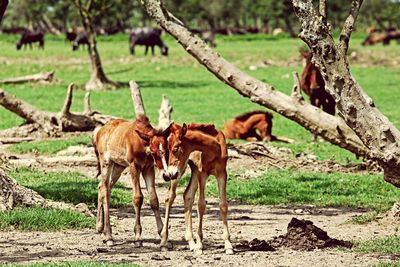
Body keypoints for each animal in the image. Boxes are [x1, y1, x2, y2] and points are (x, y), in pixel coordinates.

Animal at [94, 116, 173, 248]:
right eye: (153, 151)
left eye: (167, 150)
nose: (167, 175)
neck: (142, 144)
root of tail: (100, 131)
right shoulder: (134, 166)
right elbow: (138, 198)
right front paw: (137, 237)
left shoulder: (148, 168)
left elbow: (154, 199)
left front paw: (163, 235)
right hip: (106, 162)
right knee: (105, 189)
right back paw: (109, 236)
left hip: (119, 166)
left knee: (103, 187)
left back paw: (100, 228)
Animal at [159, 123, 233, 255]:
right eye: (169, 149)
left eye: (175, 149)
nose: (169, 173)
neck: (214, 148)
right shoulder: (202, 173)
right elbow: (201, 205)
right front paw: (199, 244)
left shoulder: (222, 173)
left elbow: (223, 205)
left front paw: (228, 244)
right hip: (182, 170)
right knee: (170, 197)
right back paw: (164, 242)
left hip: (190, 171)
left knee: (187, 195)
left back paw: (191, 242)